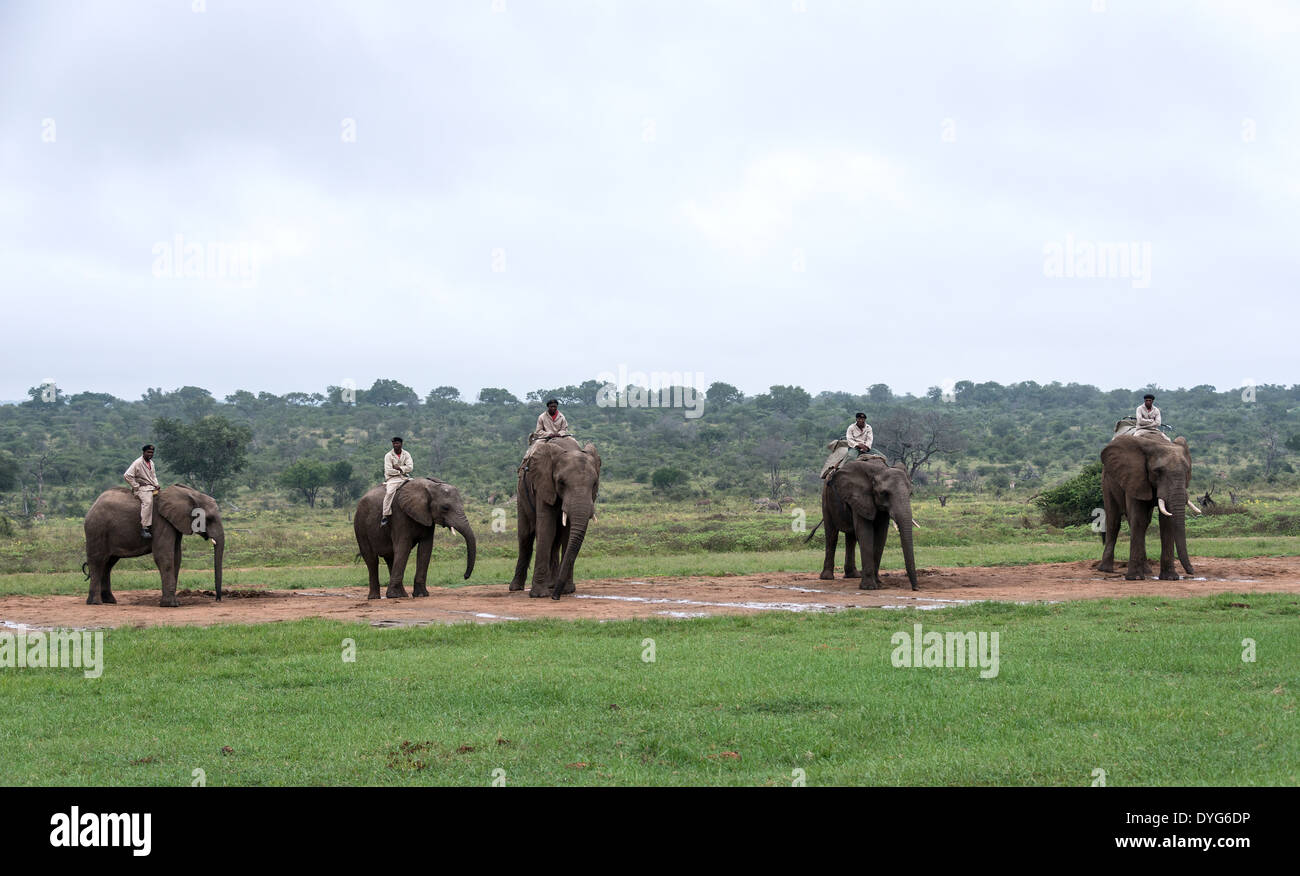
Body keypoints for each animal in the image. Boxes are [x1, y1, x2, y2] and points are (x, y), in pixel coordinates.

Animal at [82, 480, 223, 603]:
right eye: (209, 519)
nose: (217, 599)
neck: (191, 494)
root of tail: (93, 506)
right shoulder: (161, 522)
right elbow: (164, 555)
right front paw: (171, 604)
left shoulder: (174, 523)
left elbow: (176, 556)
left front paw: (174, 601)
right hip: (97, 529)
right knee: (98, 561)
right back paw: (95, 602)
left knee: (108, 563)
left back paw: (109, 601)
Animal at [512, 434, 603, 597]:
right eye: (561, 483)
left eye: (594, 484)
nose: (556, 598)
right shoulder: (543, 484)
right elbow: (546, 527)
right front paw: (539, 595)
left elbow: (567, 533)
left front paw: (567, 590)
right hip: (521, 494)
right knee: (525, 536)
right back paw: (516, 588)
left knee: (556, 539)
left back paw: (552, 585)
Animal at [816, 454, 920, 590]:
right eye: (884, 493)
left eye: (910, 493)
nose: (916, 588)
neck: (879, 470)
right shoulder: (859, 496)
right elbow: (865, 532)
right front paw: (869, 587)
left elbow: (881, 535)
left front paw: (878, 583)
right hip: (826, 498)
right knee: (832, 534)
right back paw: (827, 577)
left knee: (851, 538)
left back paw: (853, 575)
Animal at [1097, 431, 1196, 579]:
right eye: (1158, 471)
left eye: (1187, 471)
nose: (1192, 571)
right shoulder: (1135, 477)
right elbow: (1138, 519)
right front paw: (1135, 578)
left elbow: (1166, 522)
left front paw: (1170, 578)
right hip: (1107, 481)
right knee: (1114, 521)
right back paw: (1105, 570)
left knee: (1144, 523)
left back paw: (1147, 570)